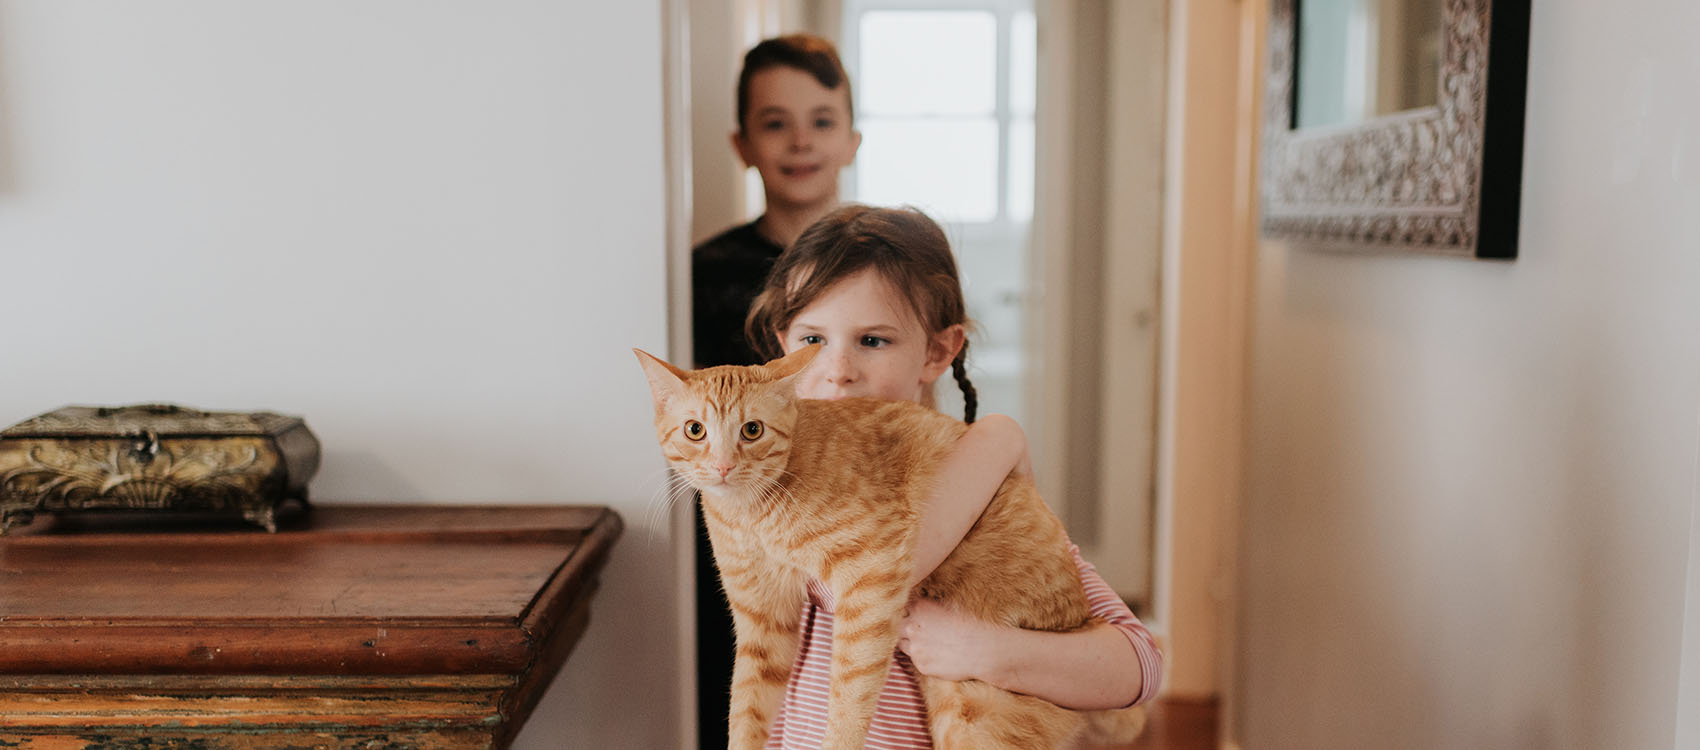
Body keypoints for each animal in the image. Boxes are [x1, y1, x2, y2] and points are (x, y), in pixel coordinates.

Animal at [639, 341, 1142, 744]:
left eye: (752, 430)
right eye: (696, 430)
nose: (723, 467)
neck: (754, 514)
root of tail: (1080, 616)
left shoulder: (871, 572)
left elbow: (850, 689)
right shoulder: (763, 620)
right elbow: (747, 707)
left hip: (976, 719)